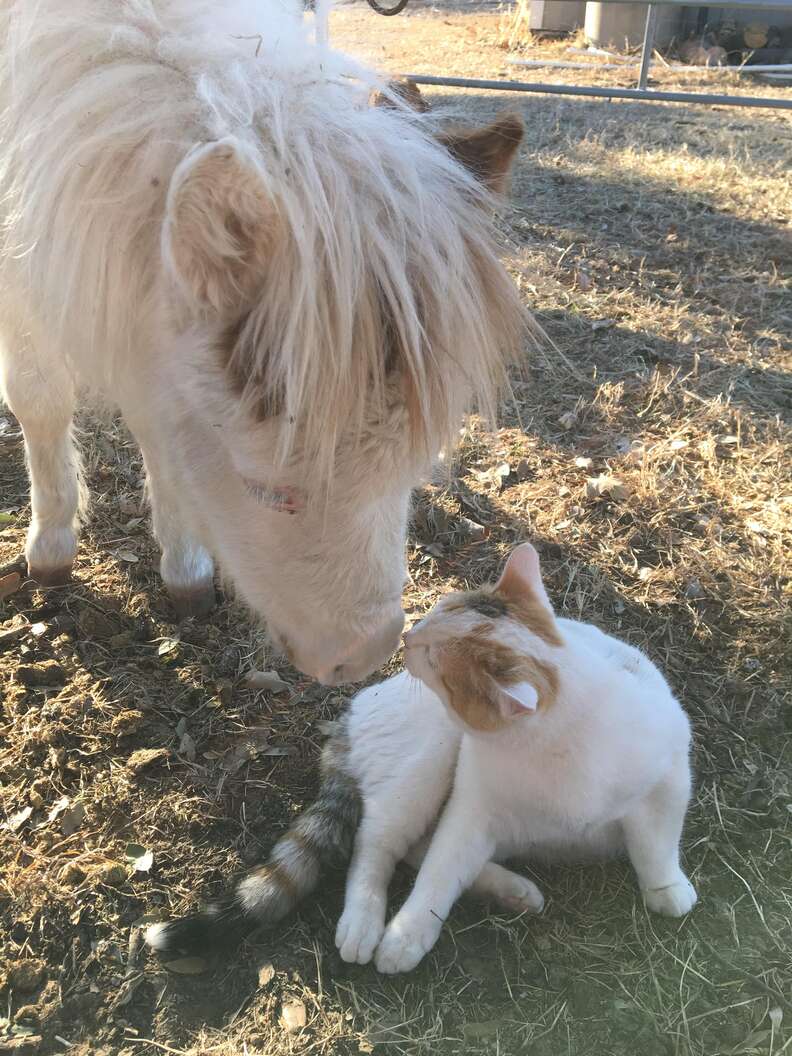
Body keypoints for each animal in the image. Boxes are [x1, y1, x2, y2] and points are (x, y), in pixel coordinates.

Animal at [0, 0, 528, 684]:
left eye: (417, 465)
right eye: (265, 489)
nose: (365, 655)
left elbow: (155, 419)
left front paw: (185, 570)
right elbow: (39, 399)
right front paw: (52, 549)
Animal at [145, 544, 696, 971]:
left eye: (434, 657)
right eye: (432, 617)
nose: (408, 636)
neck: (553, 747)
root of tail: (350, 711)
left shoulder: (669, 781)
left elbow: (656, 845)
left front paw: (666, 888)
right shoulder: (473, 810)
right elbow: (436, 876)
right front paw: (406, 936)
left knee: (418, 848)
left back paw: (513, 890)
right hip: (427, 757)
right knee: (379, 845)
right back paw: (365, 921)